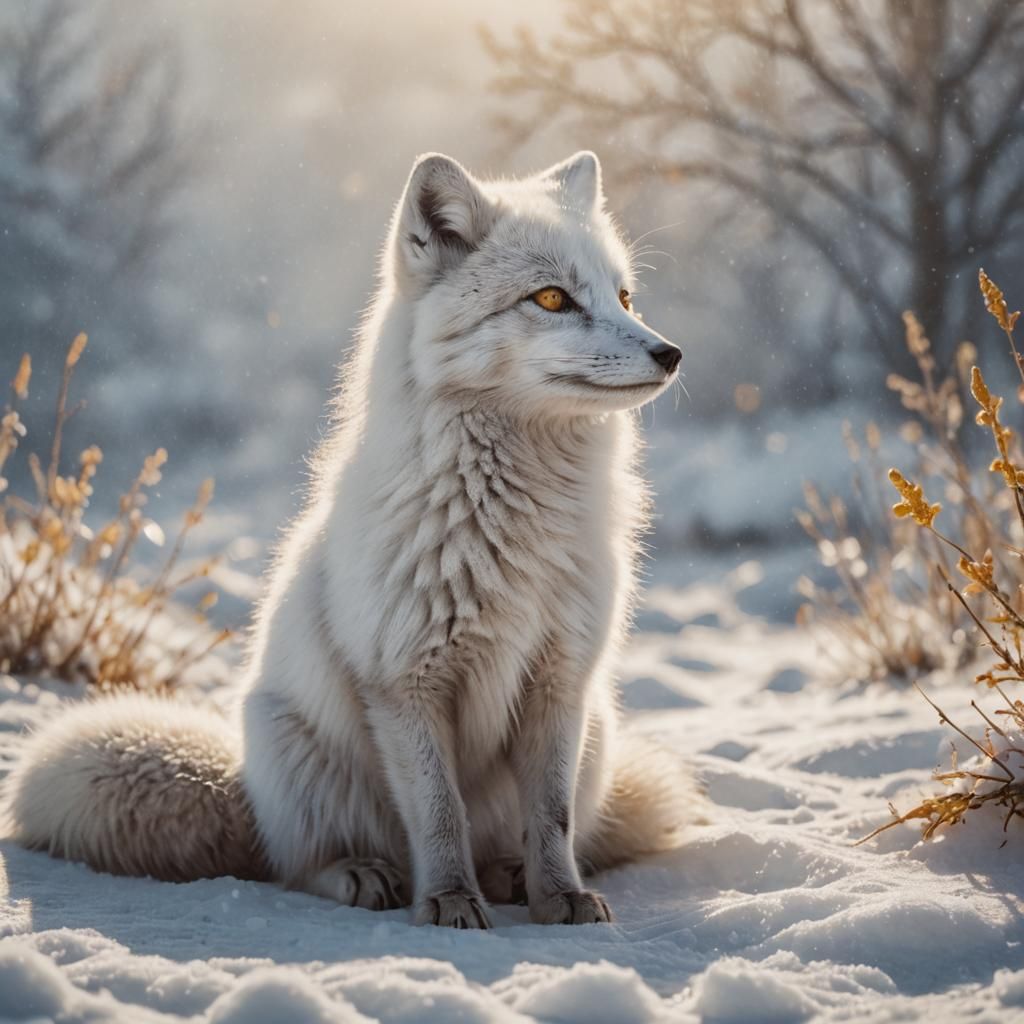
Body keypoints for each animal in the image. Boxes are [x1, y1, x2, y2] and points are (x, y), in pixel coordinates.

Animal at [3, 151, 690, 928]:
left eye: (625, 296)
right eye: (551, 299)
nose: (671, 354)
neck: (508, 518)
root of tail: (239, 782)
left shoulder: (562, 681)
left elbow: (551, 819)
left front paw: (559, 898)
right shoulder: (403, 683)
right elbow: (439, 813)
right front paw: (448, 902)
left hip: (598, 730)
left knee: (510, 836)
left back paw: (508, 875)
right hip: (296, 755)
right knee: (296, 866)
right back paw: (367, 876)